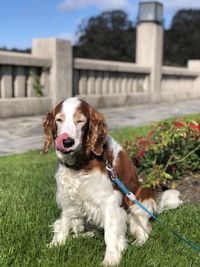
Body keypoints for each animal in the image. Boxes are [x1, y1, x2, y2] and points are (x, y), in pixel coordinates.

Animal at [42, 97, 183, 266]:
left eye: (80, 121)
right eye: (59, 120)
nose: (67, 141)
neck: (81, 164)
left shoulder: (110, 201)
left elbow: (110, 234)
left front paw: (111, 259)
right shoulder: (67, 196)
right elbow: (64, 223)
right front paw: (56, 244)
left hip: (138, 203)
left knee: (144, 231)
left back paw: (138, 243)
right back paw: (83, 235)